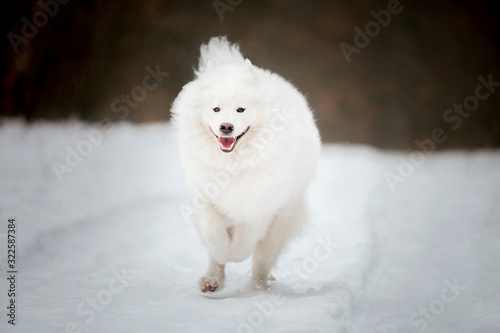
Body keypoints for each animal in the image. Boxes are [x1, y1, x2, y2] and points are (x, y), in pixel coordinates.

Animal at [171, 36, 320, 290]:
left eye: (241, 109)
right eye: (216, 109)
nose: (226, 127)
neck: (232, 165)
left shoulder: (258, 206)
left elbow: (243, 245)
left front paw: (233, 253)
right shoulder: (205, 197)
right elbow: (213, 236)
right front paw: (221, 254)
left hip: (282, 219)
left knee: (263, 258)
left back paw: (258, 286)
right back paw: (212, 280)